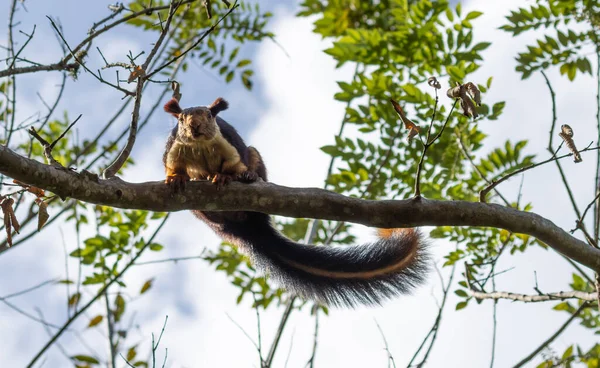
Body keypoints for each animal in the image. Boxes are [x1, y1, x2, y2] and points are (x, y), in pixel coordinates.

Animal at [162, 96, 428, 306]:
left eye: (208, 116)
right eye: (182, 119)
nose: (194, 126)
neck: (200, 146)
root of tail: (247, 228)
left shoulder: (229, 146)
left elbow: (235, 164)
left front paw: (226, 176)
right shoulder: (173, 148)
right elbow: (172, 167)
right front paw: (177, 178)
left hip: (254, 163)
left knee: (252, 159)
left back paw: (249, 177)